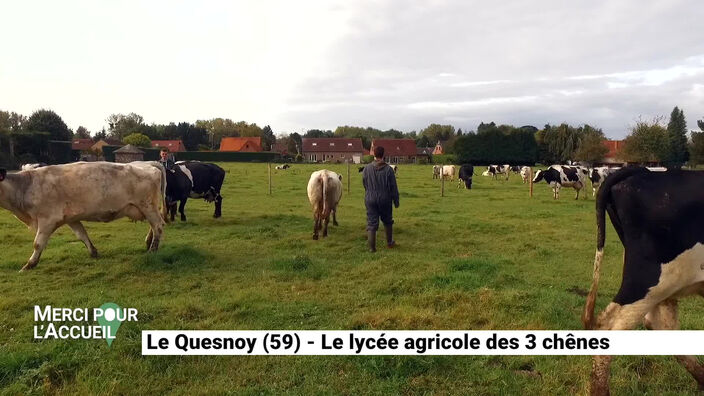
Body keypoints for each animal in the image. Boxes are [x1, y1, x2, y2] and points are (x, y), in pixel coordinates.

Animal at [0, 160, 166, 270]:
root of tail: (149, 164)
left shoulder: (47, 219)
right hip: (148, 208)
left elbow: (38, 243)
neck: (26, 187)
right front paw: (93, 252)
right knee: (153, 225)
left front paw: (30, 264)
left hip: (147, 206)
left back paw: (152, 250)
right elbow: (82, 235)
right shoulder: (71, 219)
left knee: (158, 225)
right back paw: (148, 242)